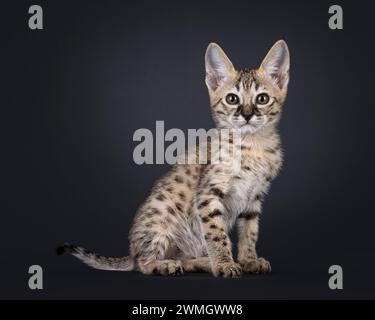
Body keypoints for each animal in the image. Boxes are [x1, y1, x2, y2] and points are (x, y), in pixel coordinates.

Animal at [58, 40, 292, 278]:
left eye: (262, 99)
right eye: (232, 99)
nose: (246, 115)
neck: (254, 145)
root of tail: (132, 251)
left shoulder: (254, 198)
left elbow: (250, 233)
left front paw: (248, 260)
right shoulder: (207, 194)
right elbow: (217, 235)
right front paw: (225, 264)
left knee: (181, 258)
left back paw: (202, 262)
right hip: (160, 218)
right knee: (142, 263)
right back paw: (165, 265)